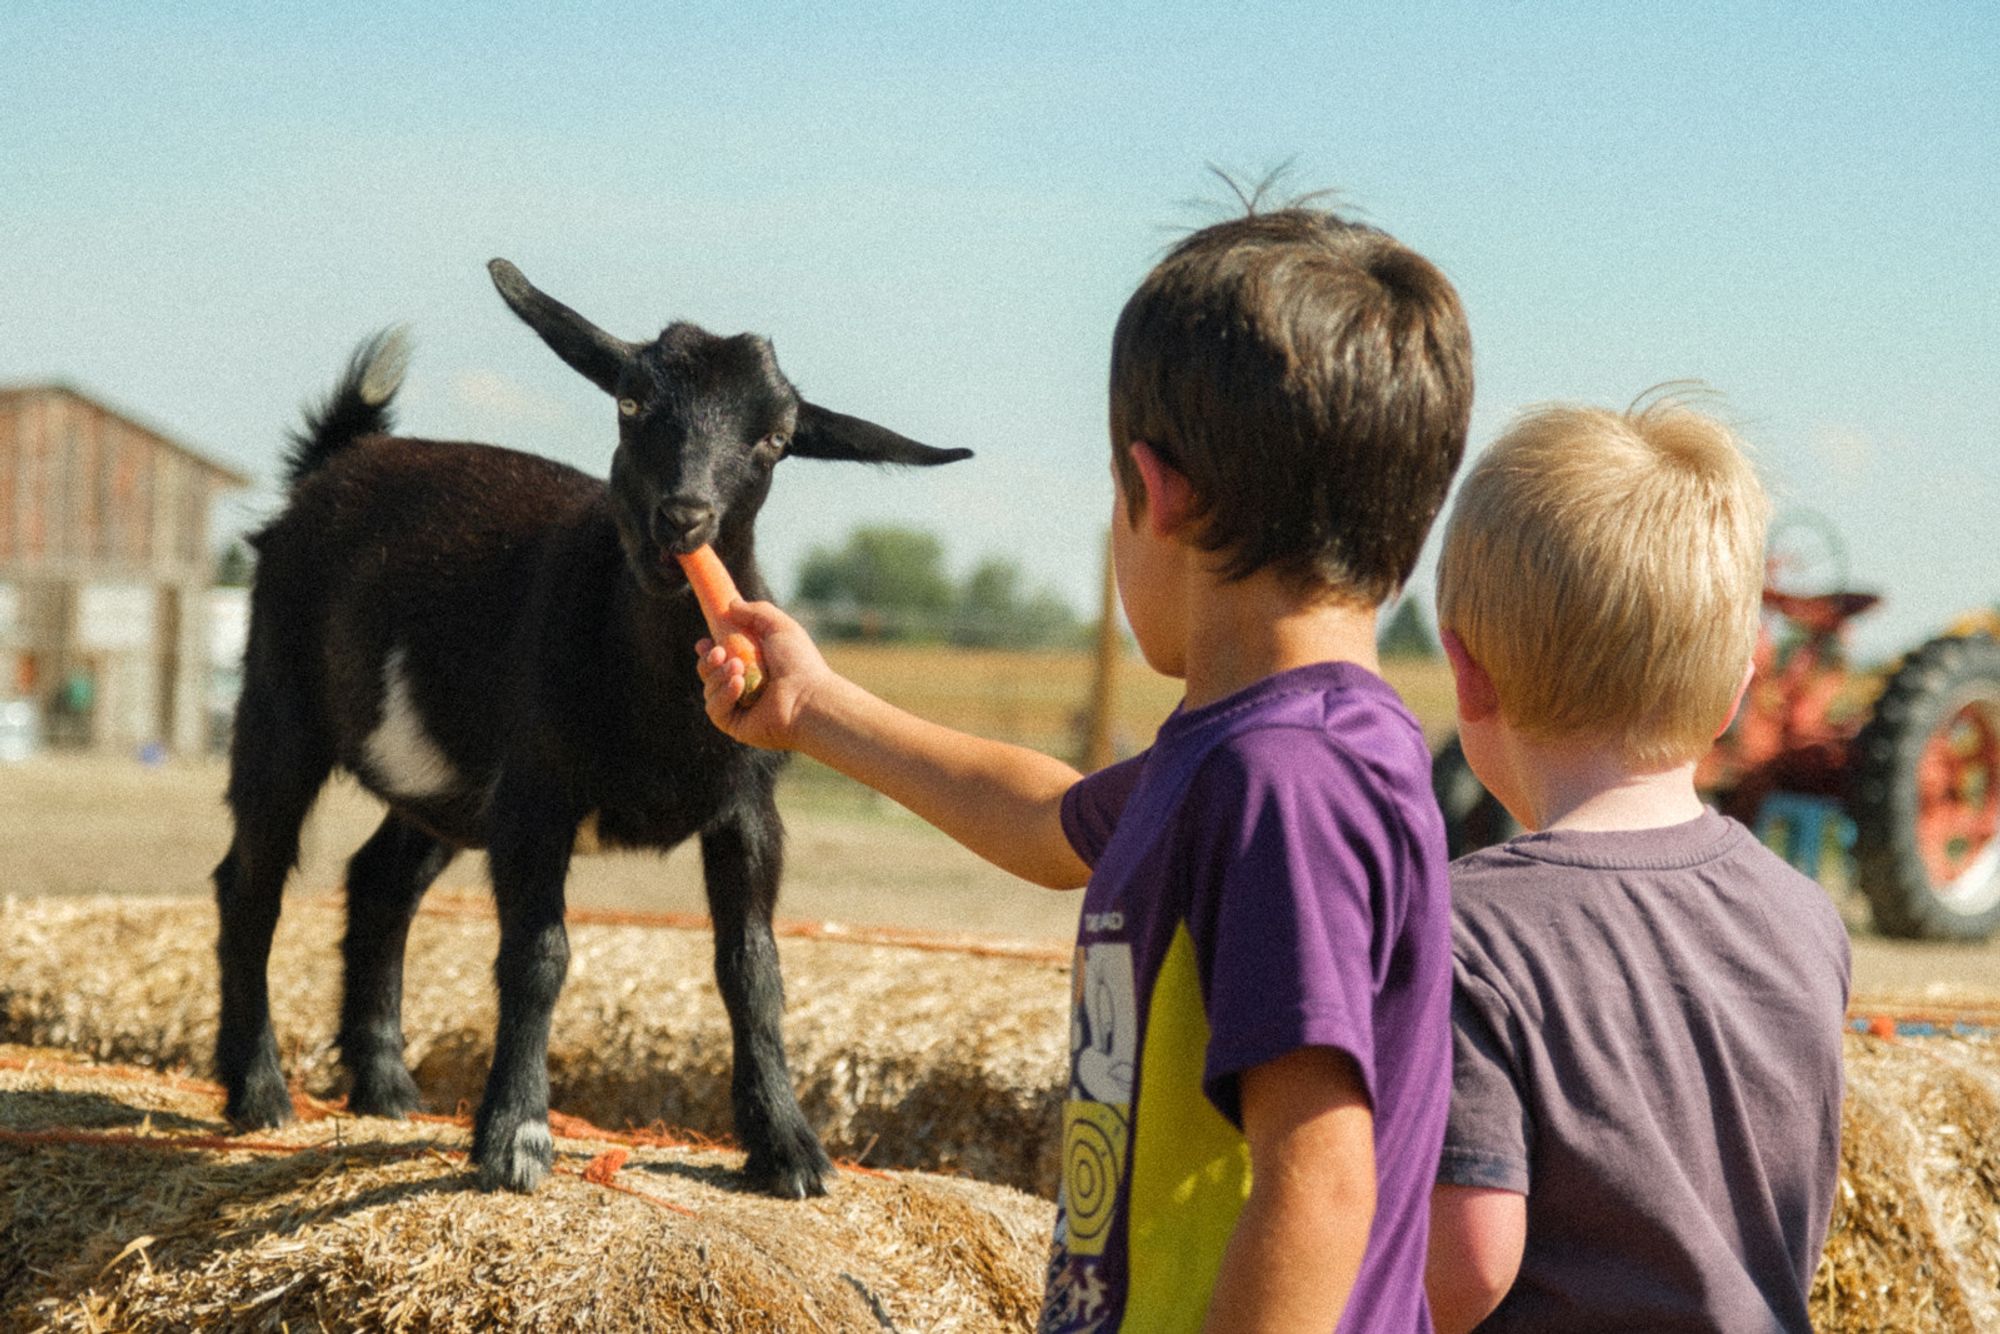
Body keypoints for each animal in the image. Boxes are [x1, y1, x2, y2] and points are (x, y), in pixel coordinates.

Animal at [215, 260, 972, 1200]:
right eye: (631, 401)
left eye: (776, 438)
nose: (682, 518)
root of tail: (340, 460)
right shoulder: (537, 797)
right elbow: (539, 957)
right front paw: (514, 1138)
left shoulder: (746, 812)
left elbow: (752, 970)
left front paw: (788, 1147)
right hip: (280, 702)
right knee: (252, 880)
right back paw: (258, 1092)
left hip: (451, 788)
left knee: (380, 882)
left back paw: (386, 1087)